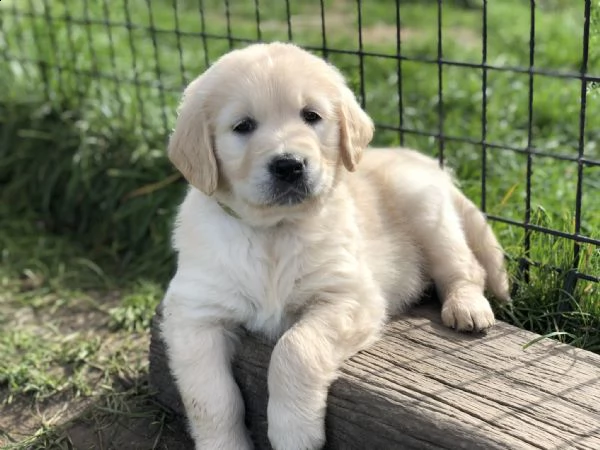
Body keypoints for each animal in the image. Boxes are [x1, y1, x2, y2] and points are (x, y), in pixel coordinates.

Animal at [161, 42, 510, 450]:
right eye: (243, 126)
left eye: (311, 116)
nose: (289, 165)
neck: (274, 232)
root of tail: (428, 164)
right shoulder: (193, 314)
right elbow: (210, 399)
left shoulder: (349, 296)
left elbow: (294, 348)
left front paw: (294, 432)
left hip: (426, 207)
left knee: (466, 268)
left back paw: (467, 306)